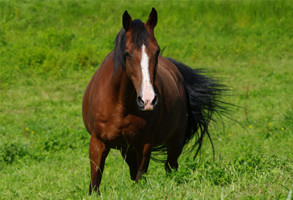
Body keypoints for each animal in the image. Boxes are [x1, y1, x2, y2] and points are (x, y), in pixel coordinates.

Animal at [82, 7, 226, 194]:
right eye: (127, 53)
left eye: (157, 51)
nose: (148, 100)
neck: (120, 105)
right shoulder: (98, 143)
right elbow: (95, 182)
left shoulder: (144, 144)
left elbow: (140, 177)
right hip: (127, 149)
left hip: (175, 140)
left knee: (171, 166)